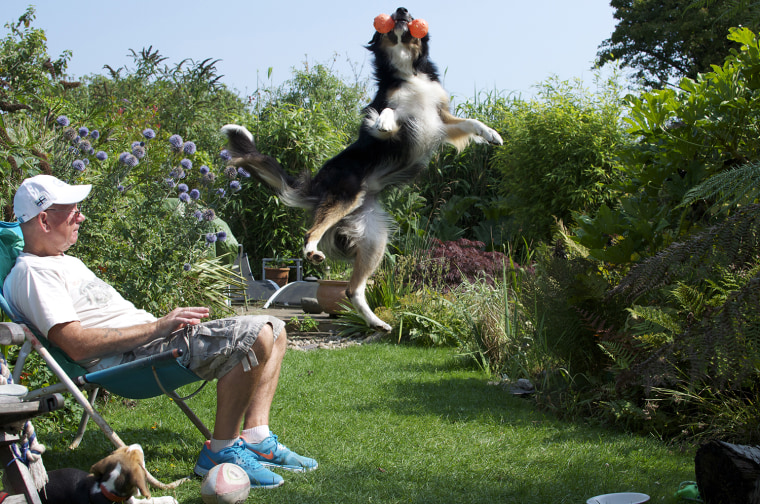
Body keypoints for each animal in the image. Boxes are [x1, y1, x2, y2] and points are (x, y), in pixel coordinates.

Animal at [223, 7, 502, 332]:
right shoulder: (400, 119)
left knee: (352, 289)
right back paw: (312, 252)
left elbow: (470, 121)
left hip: (373, 237)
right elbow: (387, 113)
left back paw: (378, 323)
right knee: (311, 233)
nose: (401, 9)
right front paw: (383, 121)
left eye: (408, 15)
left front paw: (492, 134)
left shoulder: (440, 118)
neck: (407, 72)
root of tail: (316, 186)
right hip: (345, 198)